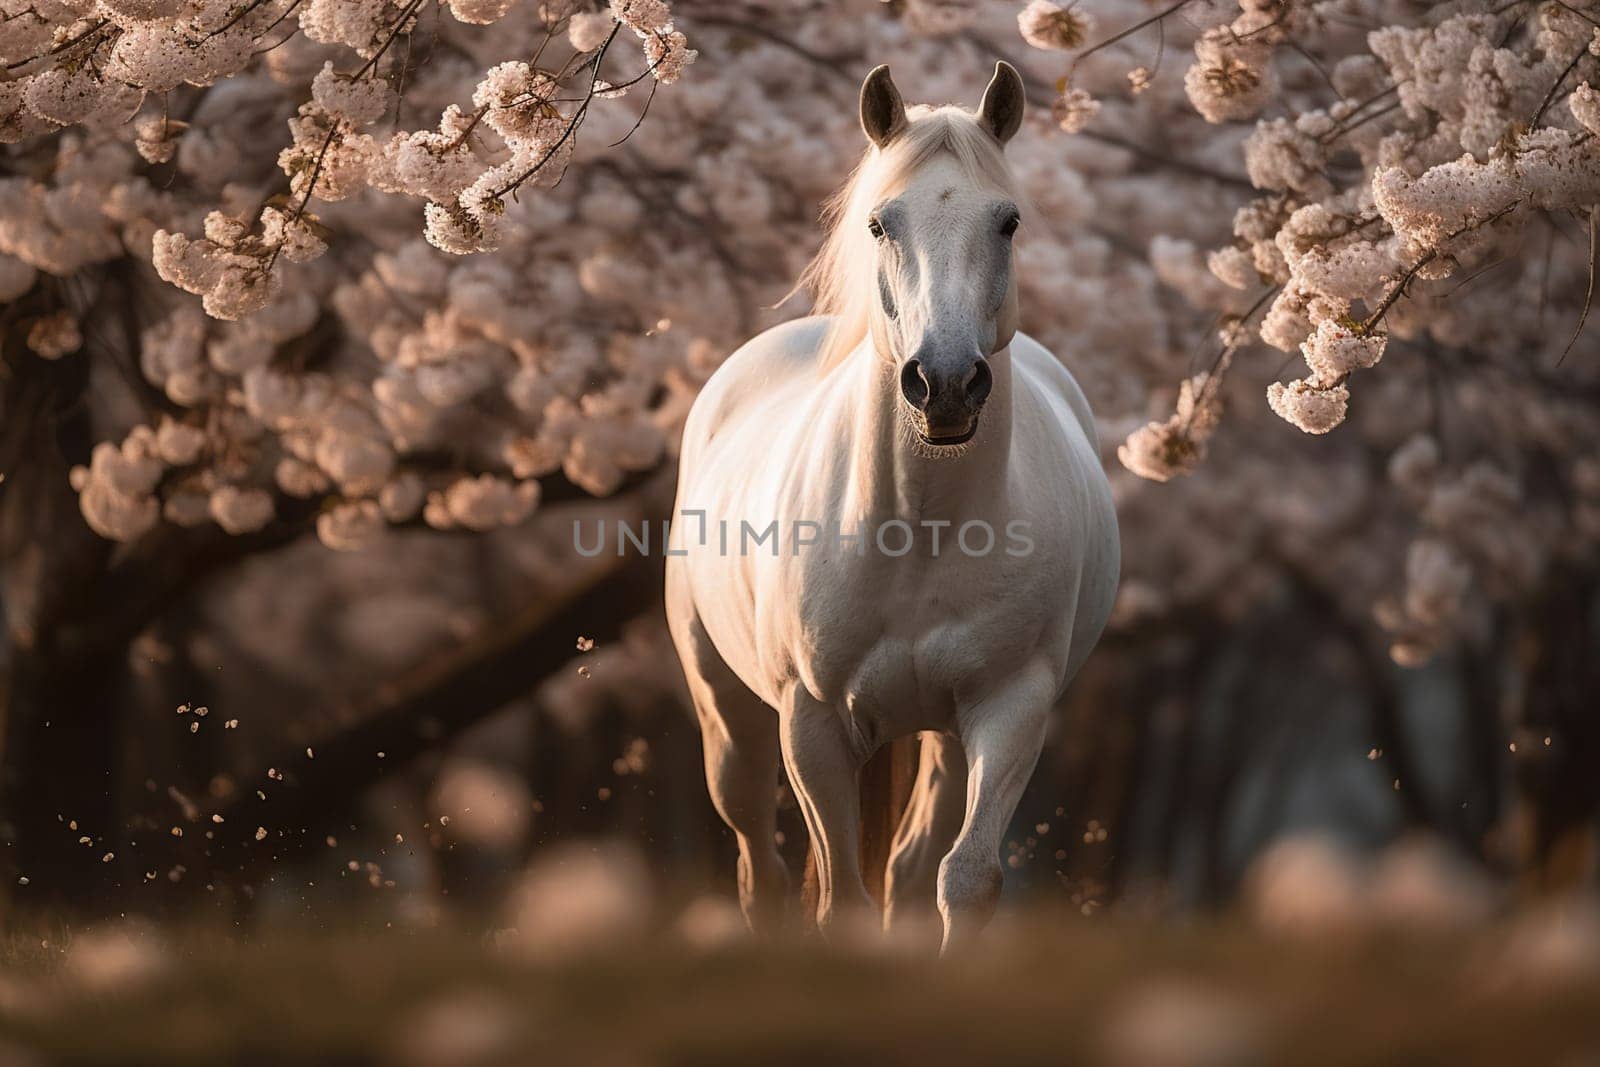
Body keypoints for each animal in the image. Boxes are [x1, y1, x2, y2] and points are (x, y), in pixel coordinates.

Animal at [668, 62, 1120, 953]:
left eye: (1008, 220)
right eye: (880, 222)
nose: (944, 383)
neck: (920, 529)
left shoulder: (1010, 707)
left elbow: (963, 878)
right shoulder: (811, 721)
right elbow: (840, 894)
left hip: (939, 736)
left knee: (910, 869)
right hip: (727, 715)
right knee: (759, 866)